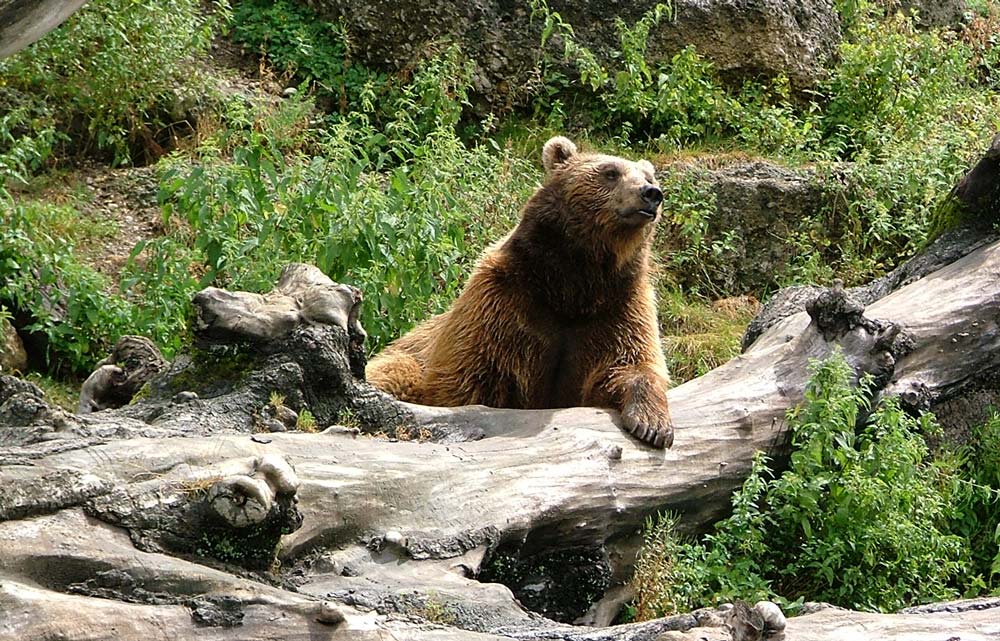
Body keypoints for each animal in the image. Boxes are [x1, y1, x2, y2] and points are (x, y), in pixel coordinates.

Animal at [364, 136, 676, 444]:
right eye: (610, 172)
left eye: (648, 176)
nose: (651, 193)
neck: (572, 285)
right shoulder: (502, 302)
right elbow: (467, 378)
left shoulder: (618, 307)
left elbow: (632, 362)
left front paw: (653, 426)